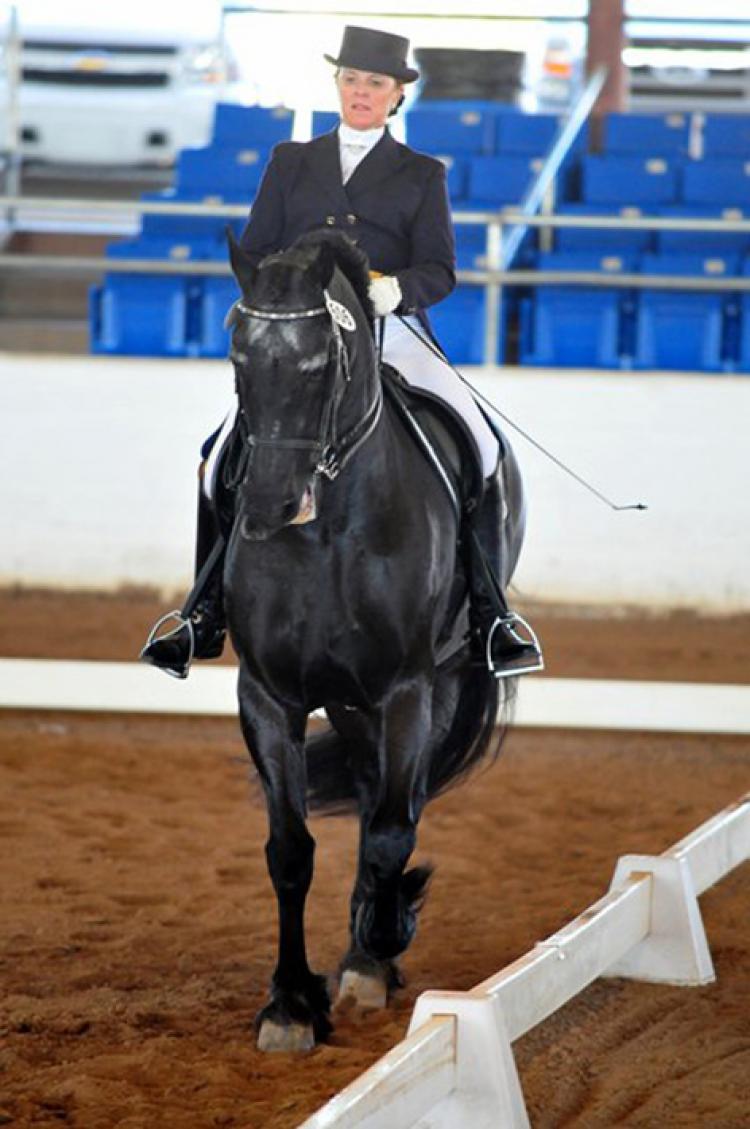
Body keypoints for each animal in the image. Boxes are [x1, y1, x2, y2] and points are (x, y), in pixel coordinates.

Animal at [225, 226, 524, 1047]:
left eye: (320, 364)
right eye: (237, 357)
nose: (267, 506)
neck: (327, 529)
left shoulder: (407, 690)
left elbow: (394, 831)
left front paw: (376, 947)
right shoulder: (268, 695)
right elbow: (290, 849)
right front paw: (290, 1004)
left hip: (438, 685)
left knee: (399, 806)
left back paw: (375, 946)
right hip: (349, 703)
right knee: (366, 794)